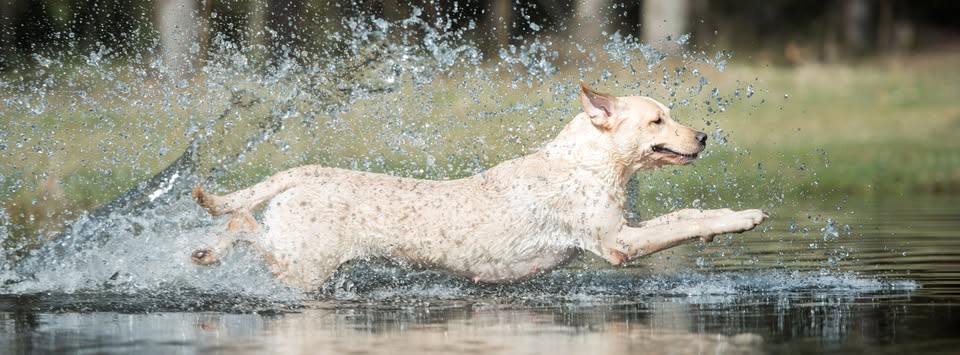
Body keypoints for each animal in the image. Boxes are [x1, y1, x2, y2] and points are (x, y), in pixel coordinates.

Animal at [191, 82, 768, 290]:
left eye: (670, 116)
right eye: (657, 120)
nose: (704, 135)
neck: (586, 164)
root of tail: (308, 172)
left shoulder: (629, 227)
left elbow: (687, 218)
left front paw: (727, 221)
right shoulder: (619, 243)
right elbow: (675, 228)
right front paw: (743, 218)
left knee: (241, 223)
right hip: (302, 265)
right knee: (244, 225)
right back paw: (210, 248)